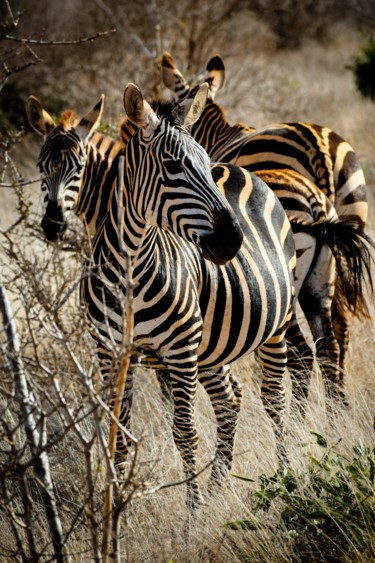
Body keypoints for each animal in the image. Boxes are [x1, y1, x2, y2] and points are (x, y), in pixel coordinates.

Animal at [25, 82, 296, 512]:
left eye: (79, 167)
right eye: (172, 165)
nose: (231, 240)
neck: (133, 266)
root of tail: (239, 169)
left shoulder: (180, 350)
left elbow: (185, 432)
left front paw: (193, 516)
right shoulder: (110, 351)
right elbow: (118, 434)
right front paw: (115, 512)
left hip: (275, 326)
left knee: (273, 398)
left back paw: (284, 478)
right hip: (211, 346)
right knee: (230, 399)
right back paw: (219, 485)